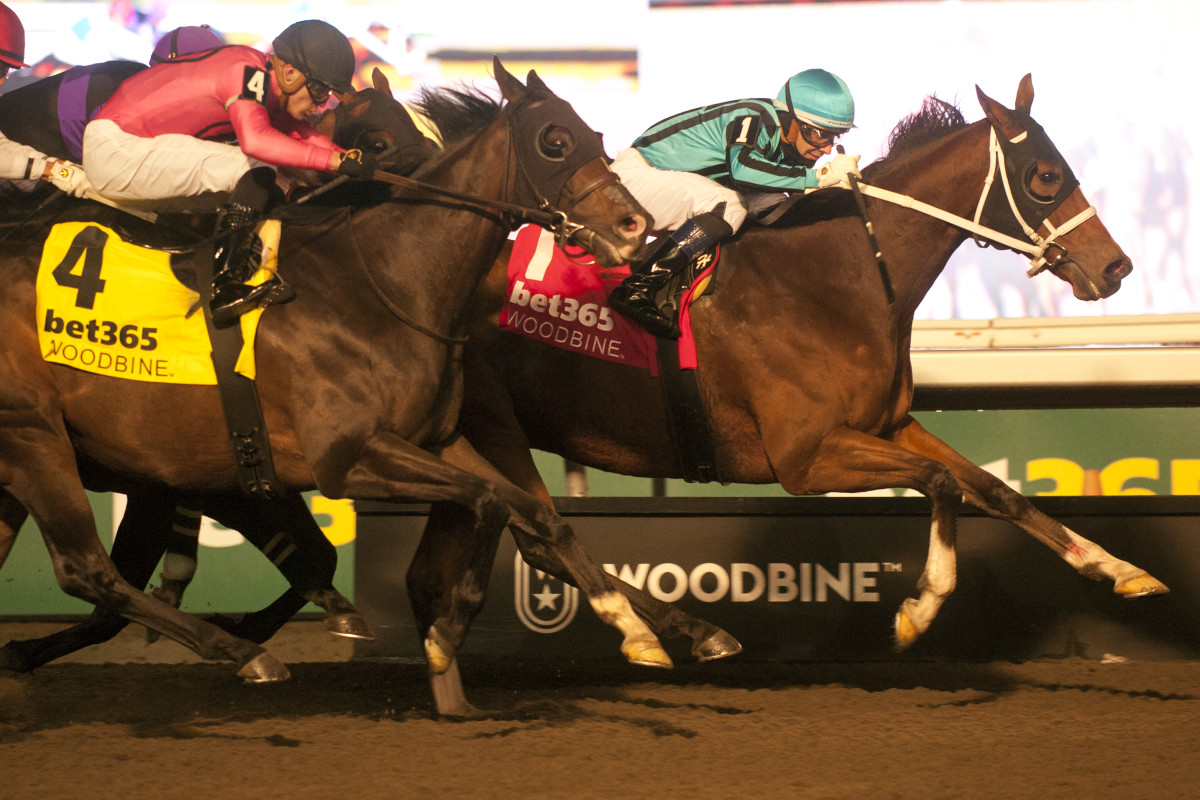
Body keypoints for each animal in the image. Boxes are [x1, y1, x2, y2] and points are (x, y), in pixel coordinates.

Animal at [0, 59, 666, 685]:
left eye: (595, 134)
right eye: (554, 141)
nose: (635, 226)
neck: (380, 282)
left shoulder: (434, 439)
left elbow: (535, 513)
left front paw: (635, 627)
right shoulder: (344, 456)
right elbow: (491, 503)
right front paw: (444, 632)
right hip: (35, 438)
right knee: (87, 570)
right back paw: (242, 653)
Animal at [397, 74, 1170, 707]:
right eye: (1044, 176)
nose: (1117, 266)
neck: (837, 277)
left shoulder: (889, 426)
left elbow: (995, 489)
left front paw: (1120, 568)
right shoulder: (805, 458)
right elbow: (941, 485)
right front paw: (917, 611)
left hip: (455, 438)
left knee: (456, 554)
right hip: (494, 425)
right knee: (538, 533)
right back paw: (672, 634)